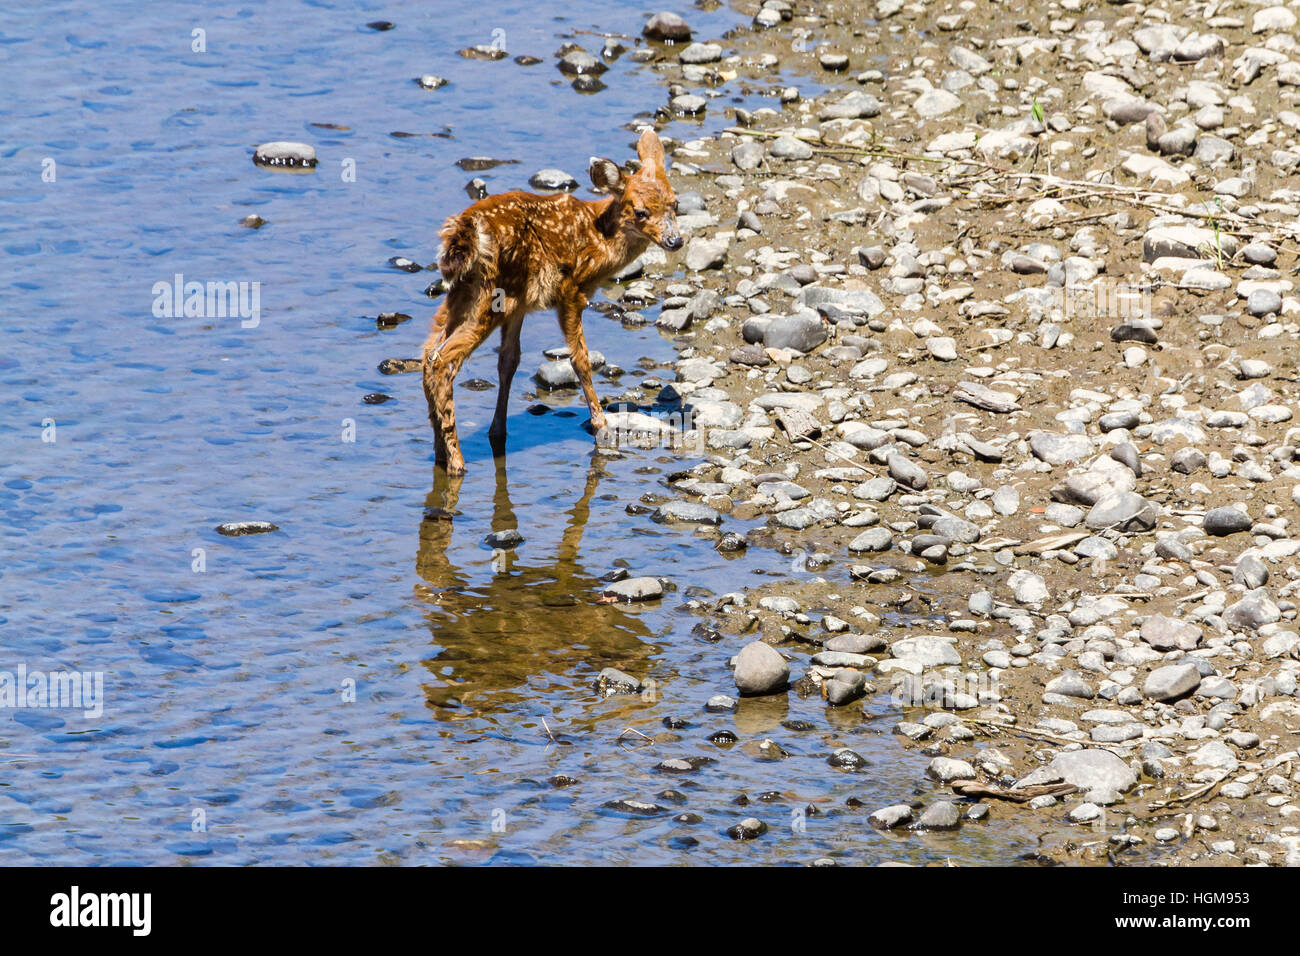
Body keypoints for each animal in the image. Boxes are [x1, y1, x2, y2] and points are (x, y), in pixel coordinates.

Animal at [421, 128, 681, 475]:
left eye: (675, 204)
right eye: (641, 212)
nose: (675, 240)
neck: (600, 240)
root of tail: (464, 233)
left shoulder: (521, 306)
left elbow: (509, 361)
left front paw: (498, 430)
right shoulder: (570, 291)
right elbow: (580, 359)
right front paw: (601, 425)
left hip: (465, 294)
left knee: (427, 355)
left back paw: (440, 452)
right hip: (490, 297)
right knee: (441, 360)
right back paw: (457, 462)